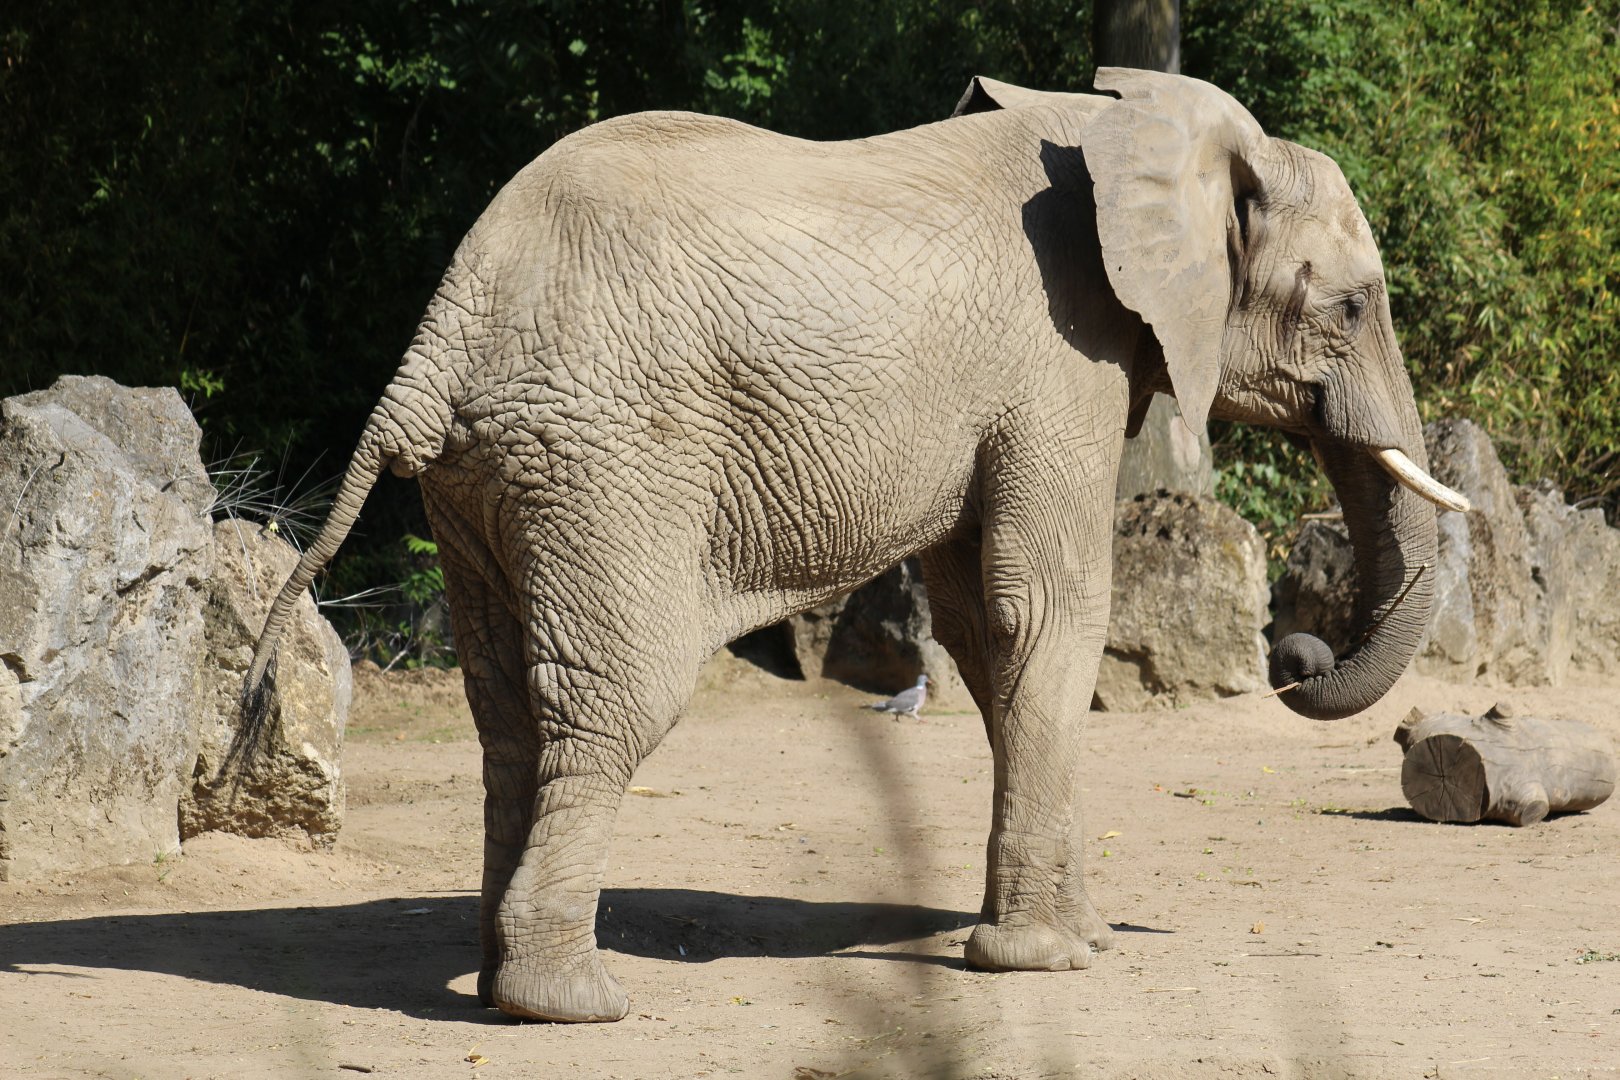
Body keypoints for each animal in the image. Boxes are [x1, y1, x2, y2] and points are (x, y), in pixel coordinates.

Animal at [245, 68, 1469, 1023]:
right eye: (1352, 310)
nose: (1294, 660)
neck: (1122, 122)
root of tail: (437, 339)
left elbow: (983, 632)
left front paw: (1077, 942)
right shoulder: (1059, 365)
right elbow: (1047, 612)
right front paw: (1046, 963)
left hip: (489, 482)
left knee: (504, 705)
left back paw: (501, 971)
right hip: (604, 462)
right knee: (615, 696)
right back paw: (570, 1003)